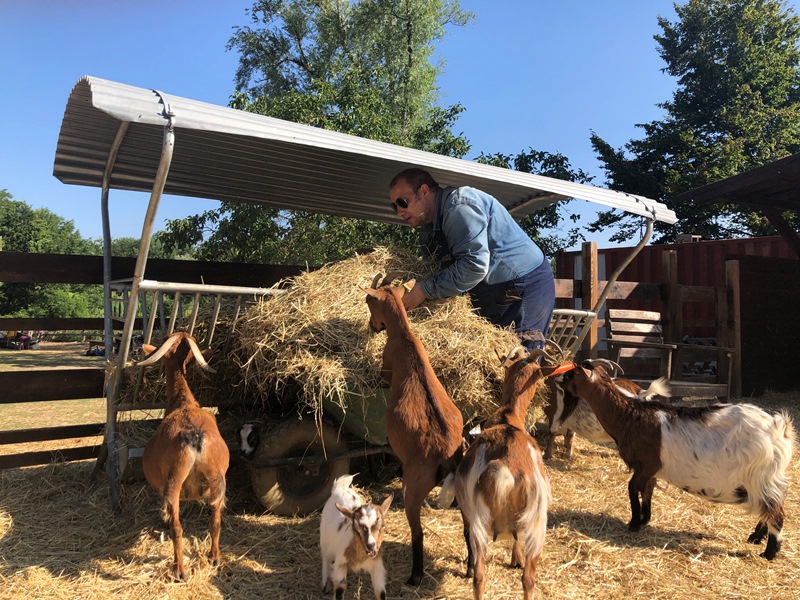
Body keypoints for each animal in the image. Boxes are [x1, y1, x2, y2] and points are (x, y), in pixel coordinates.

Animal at [138, 330, 230, 580]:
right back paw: (214, 558)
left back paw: (179, 569)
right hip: (218, 479)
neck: (183, 402)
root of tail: (194, 435)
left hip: (174, 482)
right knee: (215, 519)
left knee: (177, 527)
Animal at [362, 274, 462, 584]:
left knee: (417, 533)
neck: (404, 336)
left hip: (415, 488)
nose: (373, 327)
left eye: (368, 301)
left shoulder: (385, 369)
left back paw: (415, 576)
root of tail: (446, 453)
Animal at [456, 346, 556, 600]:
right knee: (529, 579)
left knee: (480, 576)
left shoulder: (466, 512)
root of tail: (509, 473)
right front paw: (516, 560)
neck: (507, 417)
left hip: (481, 522)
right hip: (538, 524)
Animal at [560, 358, 796, 560]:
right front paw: (645, 519)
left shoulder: (646, 465)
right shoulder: (650, 471)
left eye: (572, 374)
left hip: (759, 476)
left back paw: (769, 553)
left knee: (776, 513)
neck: (630, 415)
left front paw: (634, 523)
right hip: (764, 480)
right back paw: (756, 538)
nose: (558, 378)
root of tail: (780, 428)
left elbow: (633, 488)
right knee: (769, 507)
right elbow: (648, 490)